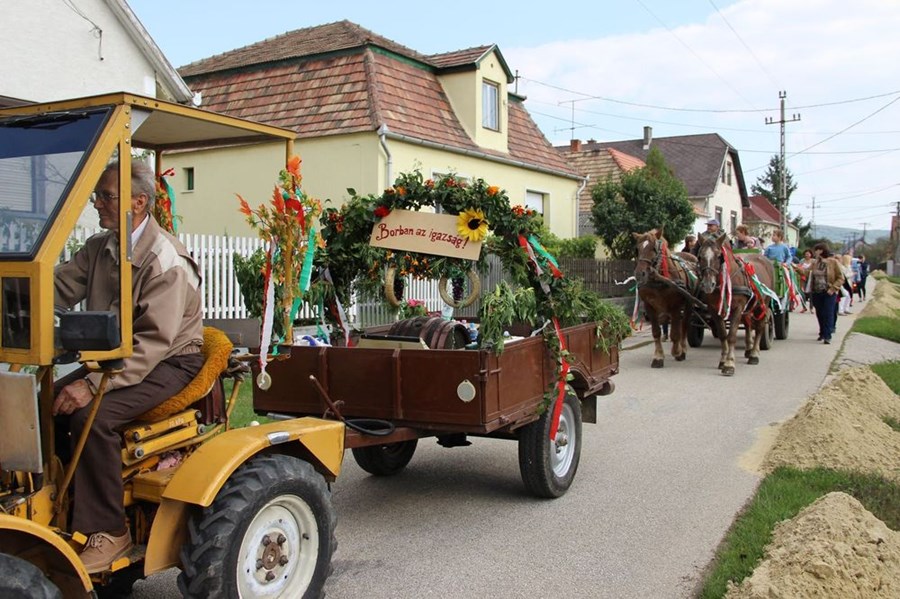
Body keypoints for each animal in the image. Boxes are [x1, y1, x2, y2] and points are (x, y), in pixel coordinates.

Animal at [632, 228, 699, 368]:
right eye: (637, 249)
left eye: (653, 248)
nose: (639, 274)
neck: (659, 278)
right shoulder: (649, 305)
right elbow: (656, 332)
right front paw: (658, 357)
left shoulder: (675, 305)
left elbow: (675, 333)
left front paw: (677, 351)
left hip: (689, 303)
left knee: (684, 325)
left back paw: (683, 349)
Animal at [695, 232, 776, 376]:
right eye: (700, 256)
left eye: (719, 256)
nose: (708, 285)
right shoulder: (714, 310)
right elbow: (723, 335)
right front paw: (723, 360)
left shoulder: (737, 309)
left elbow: (731, 335)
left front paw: (729, 364)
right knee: (748, 324)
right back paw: (749, 349)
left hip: (763, 305)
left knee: (760, 327)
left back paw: (754, 354)